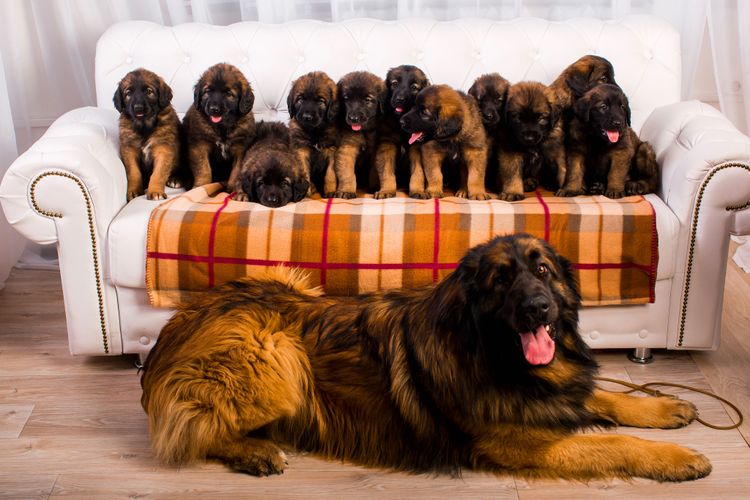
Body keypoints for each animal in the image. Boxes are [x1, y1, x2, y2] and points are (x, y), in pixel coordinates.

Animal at [114, 68, 183, 201]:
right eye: (128, 93)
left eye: (149, 91)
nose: (138, 108)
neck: (144, 126)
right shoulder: (129, 150)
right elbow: (133, 172)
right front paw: (134, 191)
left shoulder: (164, 149)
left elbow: (158, 173)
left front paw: (155, 191)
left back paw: (175, 179)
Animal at [141, 236, 712, 482]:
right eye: (500, 280)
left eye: (544, 271)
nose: (538, 308)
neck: (487, 352)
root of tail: (172, 330)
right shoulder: (521, 442)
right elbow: (611, 441)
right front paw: (675, 458)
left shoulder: (553, 391)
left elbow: (606, 396)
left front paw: (665, 408)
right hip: (278, 353)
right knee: (190, 430)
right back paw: (256, 451)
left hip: (291, 283)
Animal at [332, 71, 388, 199]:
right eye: (347, 99)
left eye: (367, 100)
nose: (354, 118)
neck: (364, 131)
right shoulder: (347, 149)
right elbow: (348, 173)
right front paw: (347, 190)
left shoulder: (375, 152)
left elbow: (374, 171)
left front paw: (374, 187)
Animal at [374, 65, 432, 199]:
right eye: (394, 84)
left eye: (414, 87)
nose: (400, 99)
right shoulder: (387, 144)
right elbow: (387, 171)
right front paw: (386, 190)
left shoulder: (416, 146)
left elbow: (418, 172)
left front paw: (418, 191)